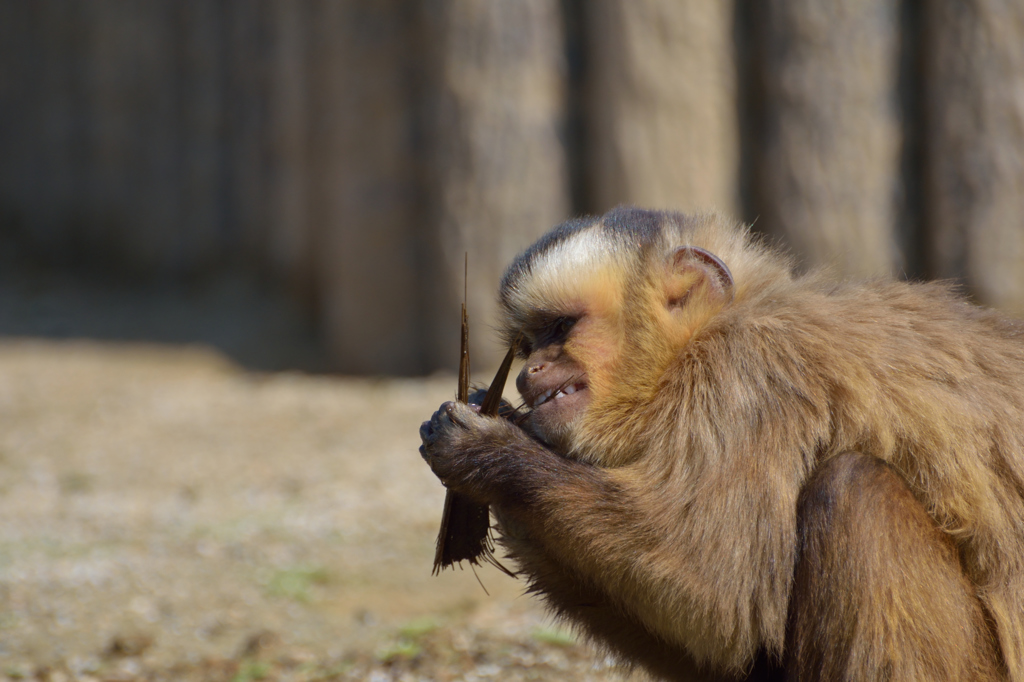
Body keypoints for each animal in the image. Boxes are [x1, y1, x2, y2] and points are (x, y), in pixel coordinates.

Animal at [417, 206, 1024, 679]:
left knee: (856, 490)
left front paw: (489, 455)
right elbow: (736, 646)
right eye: (529, 343)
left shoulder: (750, 372)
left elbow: (721, 597)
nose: (528, 373)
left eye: (561, 328)